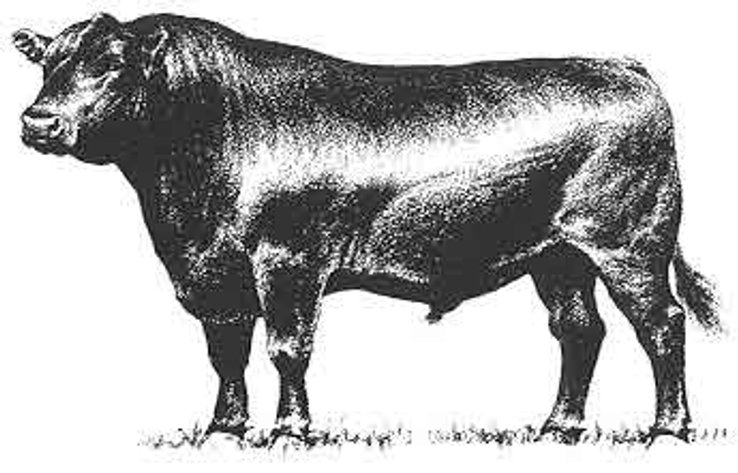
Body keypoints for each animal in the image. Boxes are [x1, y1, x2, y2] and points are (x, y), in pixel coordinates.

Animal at [13, 12, 719, 445]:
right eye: (48, 62)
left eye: (112, 62)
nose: (38, 121)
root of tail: (620, 65)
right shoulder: (209, 270)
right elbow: (226, 350)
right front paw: (224, 431)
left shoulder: (289, 260)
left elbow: (286, 349)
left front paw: (290, 432)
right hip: (558, 258)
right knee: (579, 330)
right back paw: (558, 429)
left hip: (629, 245)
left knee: (662, 324)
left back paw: (668, 430)